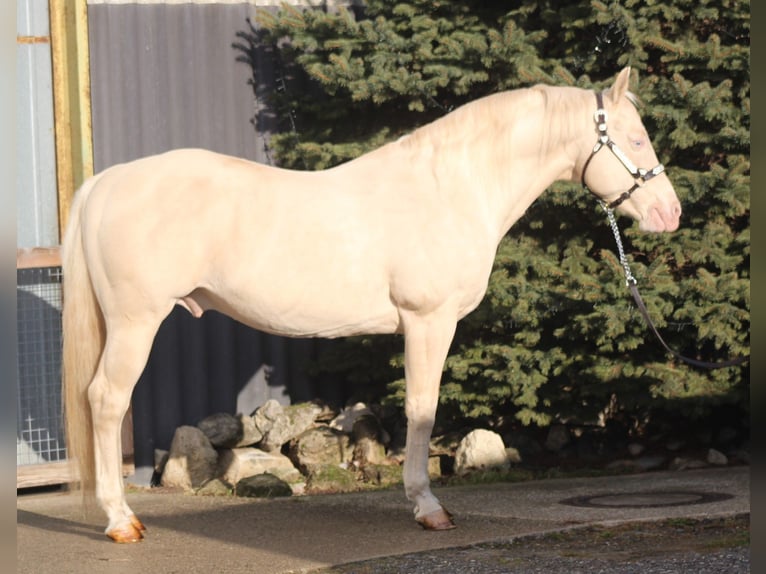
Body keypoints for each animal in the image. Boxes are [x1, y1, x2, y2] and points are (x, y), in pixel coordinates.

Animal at [62, 66, 681, 543]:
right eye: (635, 139)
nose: (669, 213)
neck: (449, 187)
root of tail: (106, 182)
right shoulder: (429, 322)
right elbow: (421, 409)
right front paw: (429, 508)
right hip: (136, 323)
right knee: (106, 399)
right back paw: (121, 521)